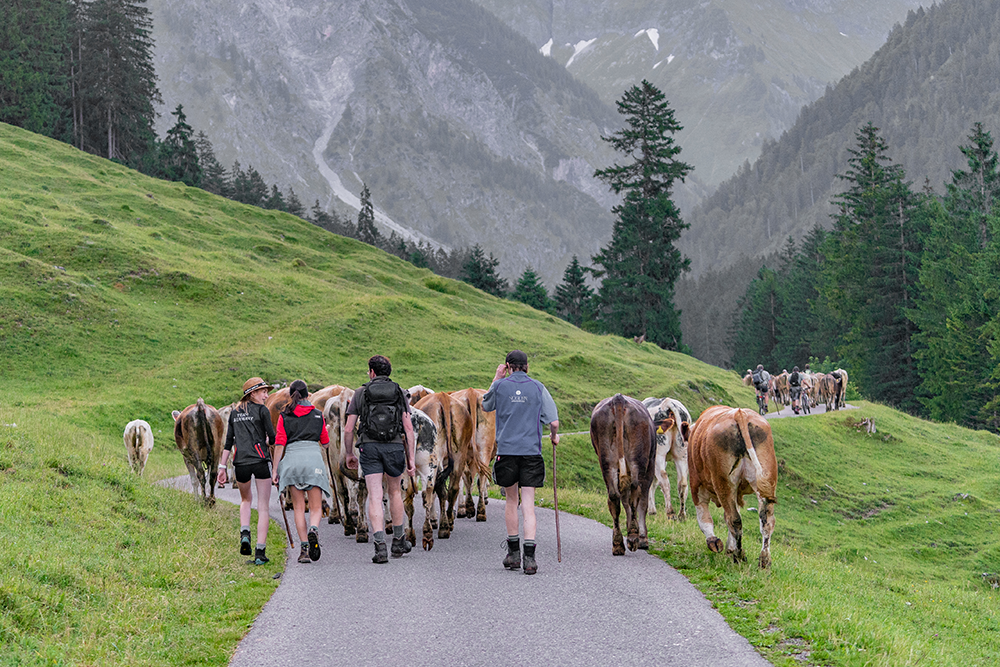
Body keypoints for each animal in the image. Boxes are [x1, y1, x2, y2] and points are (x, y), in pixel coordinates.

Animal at [588, 394, 660, 556]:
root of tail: (618, 399)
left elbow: (624, 500)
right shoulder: (650, 466)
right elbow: (642, 502)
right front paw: (643, 538)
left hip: (606, 460)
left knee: (614, 496)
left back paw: (618, 544)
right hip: (638, 460)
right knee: (635, 490)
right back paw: (633, 537)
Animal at [688, 408, 780, 568]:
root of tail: (740, 413)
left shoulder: (695, 485)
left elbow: (704, 518)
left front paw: (714, 542)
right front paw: (729, 548)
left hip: (724, 483)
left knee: (734, 519)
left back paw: (739, 555)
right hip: (766, 480)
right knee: (767, 520)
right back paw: (764, 561)